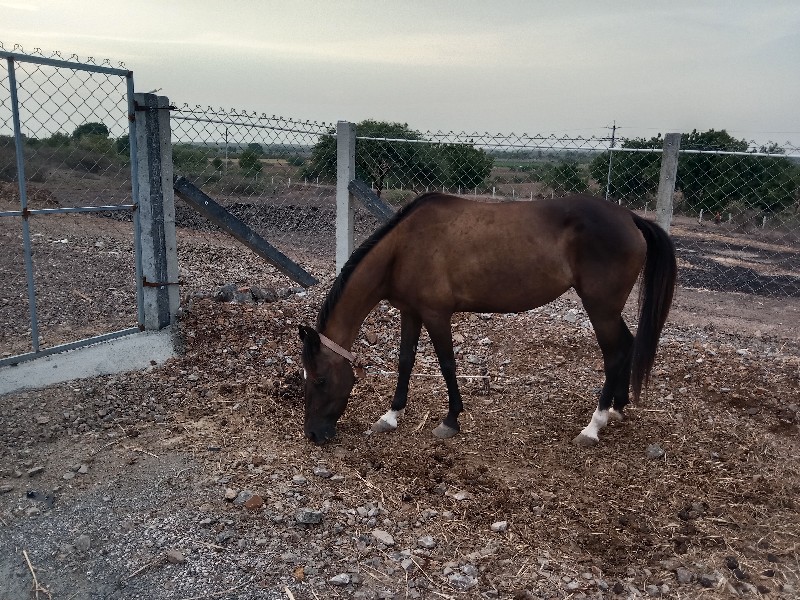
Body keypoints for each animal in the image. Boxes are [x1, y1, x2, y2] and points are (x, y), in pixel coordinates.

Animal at [300, 192, 676, 446]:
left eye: (320, 380)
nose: (314, 434)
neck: (403, 248)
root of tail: (630, 217)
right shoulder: (411, 311)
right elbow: (405, 361)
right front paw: (391, 416)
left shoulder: (436, 314)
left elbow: (447, 364)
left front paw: (450, 420)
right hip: (608, 310)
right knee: (627, 346)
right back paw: (617, 409)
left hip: (600, 308)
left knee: (614, 354)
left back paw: (593, 426)